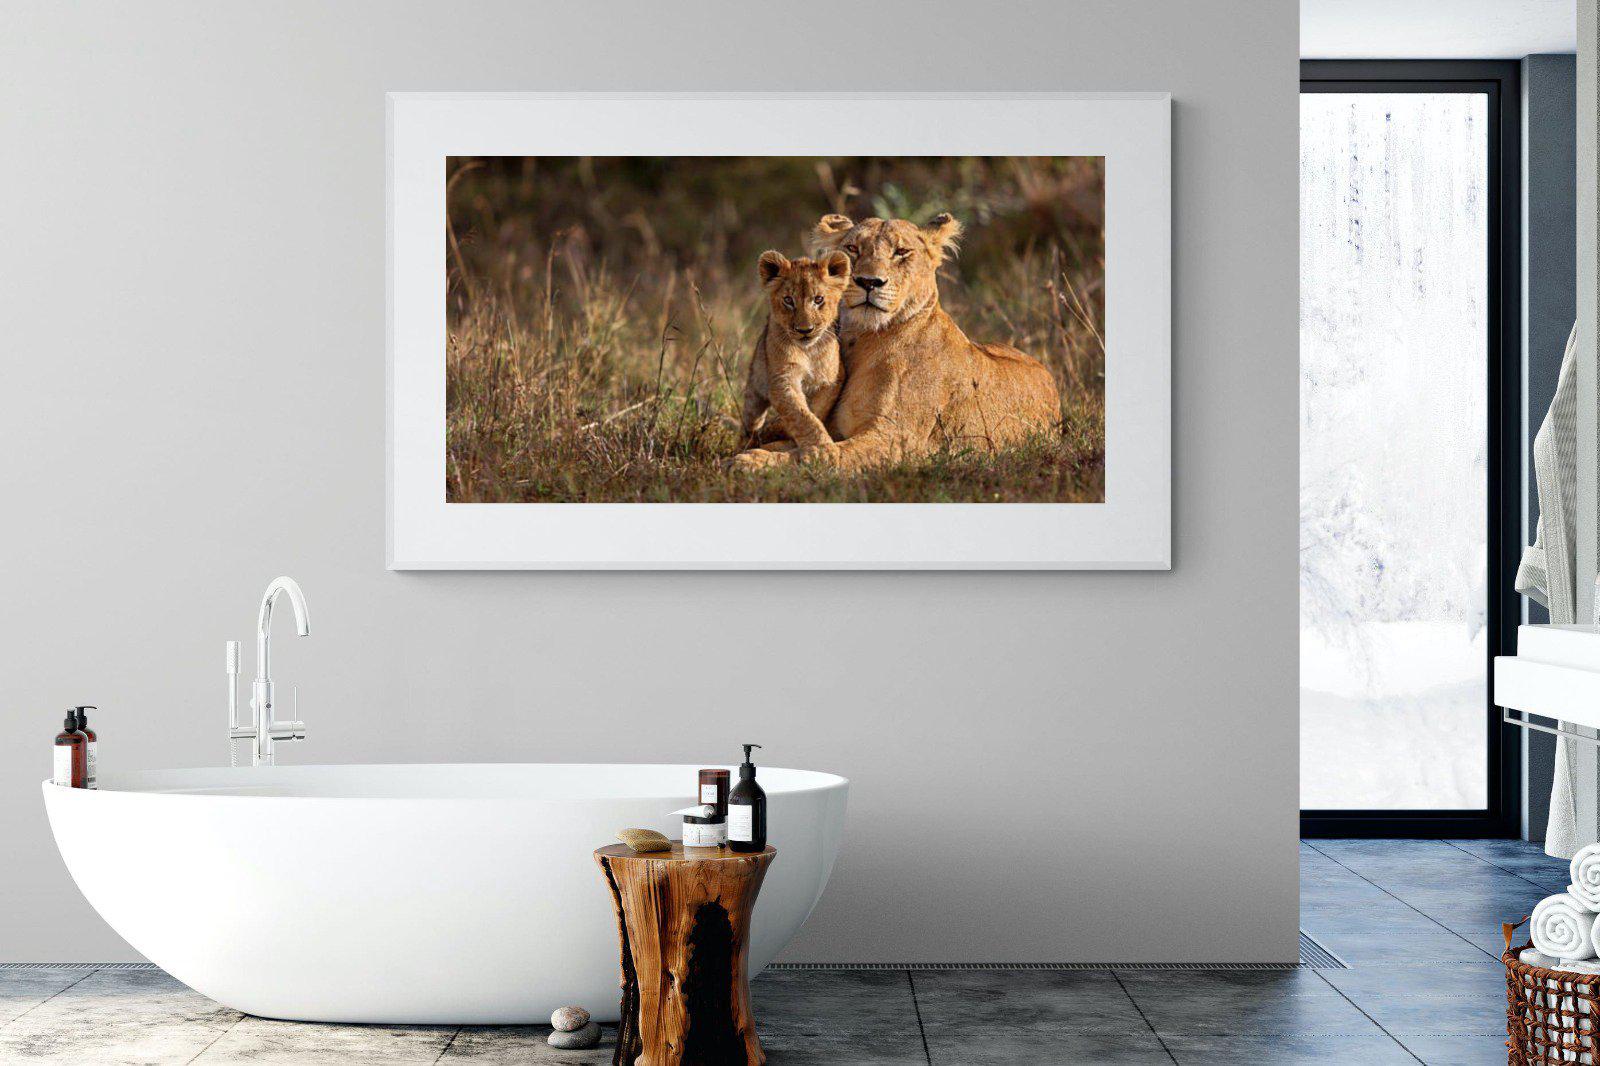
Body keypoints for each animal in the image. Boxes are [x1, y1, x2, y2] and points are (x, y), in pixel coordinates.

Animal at [740, 250, 850, 450]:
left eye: (818, 299)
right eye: (788, 300)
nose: (805, 330)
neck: (808, 351)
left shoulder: (832, 379)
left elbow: (815, 410)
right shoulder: (782, 379)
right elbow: (801, 416)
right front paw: (822, 448)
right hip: (755, 388)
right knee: (749, 422)